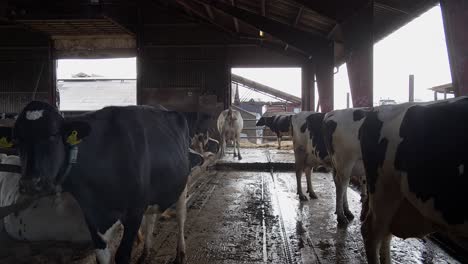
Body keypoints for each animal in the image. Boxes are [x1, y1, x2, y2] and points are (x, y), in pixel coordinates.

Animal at [0, 101, 201, 264]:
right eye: (17, 140)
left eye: (53, 135)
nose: (30, 183)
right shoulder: (91, 213)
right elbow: (102, 256)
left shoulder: (134, 211)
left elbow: (122, 256)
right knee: (151, 218)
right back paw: (145, 253)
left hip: (182, 181)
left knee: (181, 216)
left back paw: (180, 254)